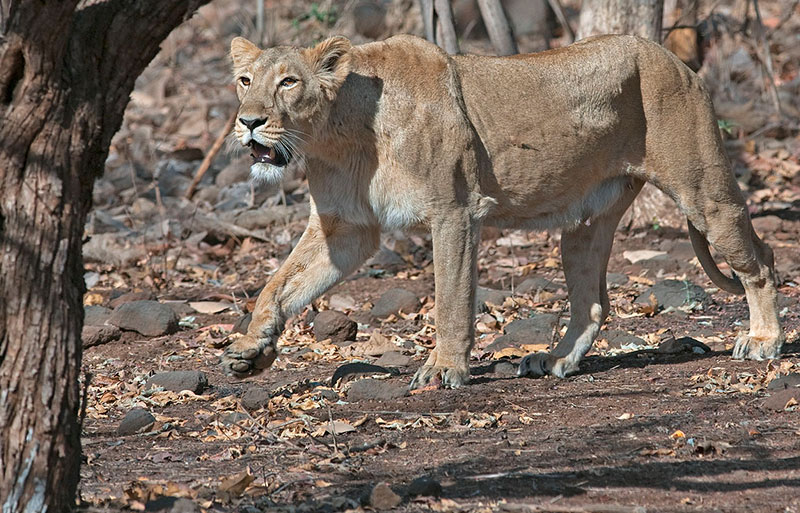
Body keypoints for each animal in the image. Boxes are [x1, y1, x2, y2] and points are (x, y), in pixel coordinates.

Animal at [222, 33, 784, 389]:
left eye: (288, 82)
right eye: (245, 81)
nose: (248, 122)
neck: (340, 134)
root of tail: (679, 61)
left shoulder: (453, 210)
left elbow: (451, 299)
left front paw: (444, 369)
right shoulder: (346, 229)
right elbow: (279, 286)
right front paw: (251, 349)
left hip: (704, 191)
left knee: (761, 260)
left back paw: (763, 340)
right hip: (585, 223)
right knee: (592, 303)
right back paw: (553, 360)